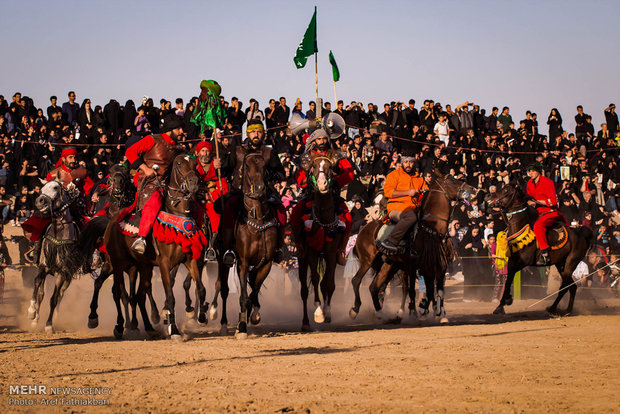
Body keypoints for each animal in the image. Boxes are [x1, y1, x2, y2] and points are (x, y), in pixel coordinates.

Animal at [86, 163, 160, 332]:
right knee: (111, 288)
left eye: (126, 174)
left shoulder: (135, 267)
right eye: (111, 173)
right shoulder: (115, 265)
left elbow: (136, 293)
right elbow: (121, 293)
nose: (118, 186)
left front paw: (140, 320)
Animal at [104, 152, 206, 340]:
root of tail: (112, 222)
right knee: (118, 292)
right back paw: (120, 326)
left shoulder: (190, 260)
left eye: (195, 164)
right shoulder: (164, 263)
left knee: (139, 296)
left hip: (143, 267)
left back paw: (149, 327)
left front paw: (201, 317)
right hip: (118, 264)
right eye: (179, 163)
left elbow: (201, 289)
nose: (194, 183)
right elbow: (170, 297)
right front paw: (174, 330)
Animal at [294, 154, 344, 332]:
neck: (323, 219)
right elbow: (315, 279)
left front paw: (327, 312)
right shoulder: (311, 252)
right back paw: (305, 322)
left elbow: (329, 283)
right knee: (303, 289)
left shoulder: (330, 253)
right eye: (313, 167)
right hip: (301, 258)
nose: (322, 185)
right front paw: (318, 313)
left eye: (330, 168)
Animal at [348, 171, 474, 324]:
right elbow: (416, 291)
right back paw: (355, 310)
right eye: (452, 181)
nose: (472, 189)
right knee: (356, 281)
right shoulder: (415, 266)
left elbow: (436, 291)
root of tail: (364, 230)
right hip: (368, 260)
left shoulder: (437, 267)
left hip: (388, 264)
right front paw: (417, 312)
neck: (432, 228)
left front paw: (437, 313)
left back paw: (380, 314)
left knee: (374, 287)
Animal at [484, 183, 592, 316]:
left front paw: (505, 301)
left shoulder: (522, 262)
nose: (488, 195)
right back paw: (567, 310)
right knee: (572, 287)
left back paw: (553, 308)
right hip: (560, 264)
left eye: (505, 190)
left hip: (571, 263)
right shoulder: (512, 262)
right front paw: (502, 303)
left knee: (565, 287)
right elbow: (508, 280)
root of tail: (583, 235)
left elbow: (509, 278)